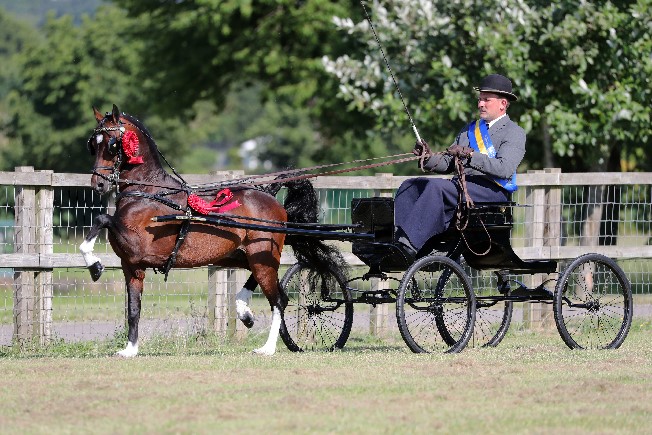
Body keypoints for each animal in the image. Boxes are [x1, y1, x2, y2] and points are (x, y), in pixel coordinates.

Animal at [81, 104, 344, 356]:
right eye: (93, 145)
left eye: (113, 144)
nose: (98, 184)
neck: (150, 192)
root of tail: (270, 196)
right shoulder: (132, 265)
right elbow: (134, 308)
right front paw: (130, 349)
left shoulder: (138, 245)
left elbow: (102, 219)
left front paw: (95, 266)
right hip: (245, 256)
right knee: (267, 287)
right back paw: (244, 310)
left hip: (263, 257)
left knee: (278, 299)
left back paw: (267, 348)